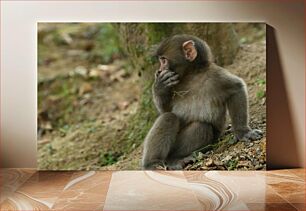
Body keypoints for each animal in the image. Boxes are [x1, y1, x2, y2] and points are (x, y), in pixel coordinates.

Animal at [142, 34, 262, 170]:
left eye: (163, 60)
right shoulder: (174, 86)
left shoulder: (216, 75)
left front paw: (243, 132)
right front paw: (160, 86)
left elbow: (237, 89)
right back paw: (152, 164)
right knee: (168, 117)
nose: (159, 71)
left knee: (201, 127)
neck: (191, 76)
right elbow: (165, 110)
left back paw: (175, 159)